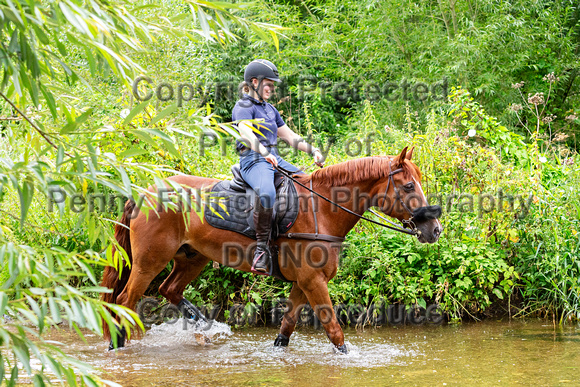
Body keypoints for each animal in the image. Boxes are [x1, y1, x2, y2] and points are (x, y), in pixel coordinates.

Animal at [102, 147, 442, 354]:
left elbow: (286, 328)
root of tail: (142, 192)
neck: (321, 209)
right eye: (409, 186)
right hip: (149, 262)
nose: (435, 229)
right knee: (125, 300)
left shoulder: (304, 283)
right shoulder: (313, 282)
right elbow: (335, 330)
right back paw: (118, 345)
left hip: (192, 257)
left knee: (169, 289)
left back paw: (202, 326)